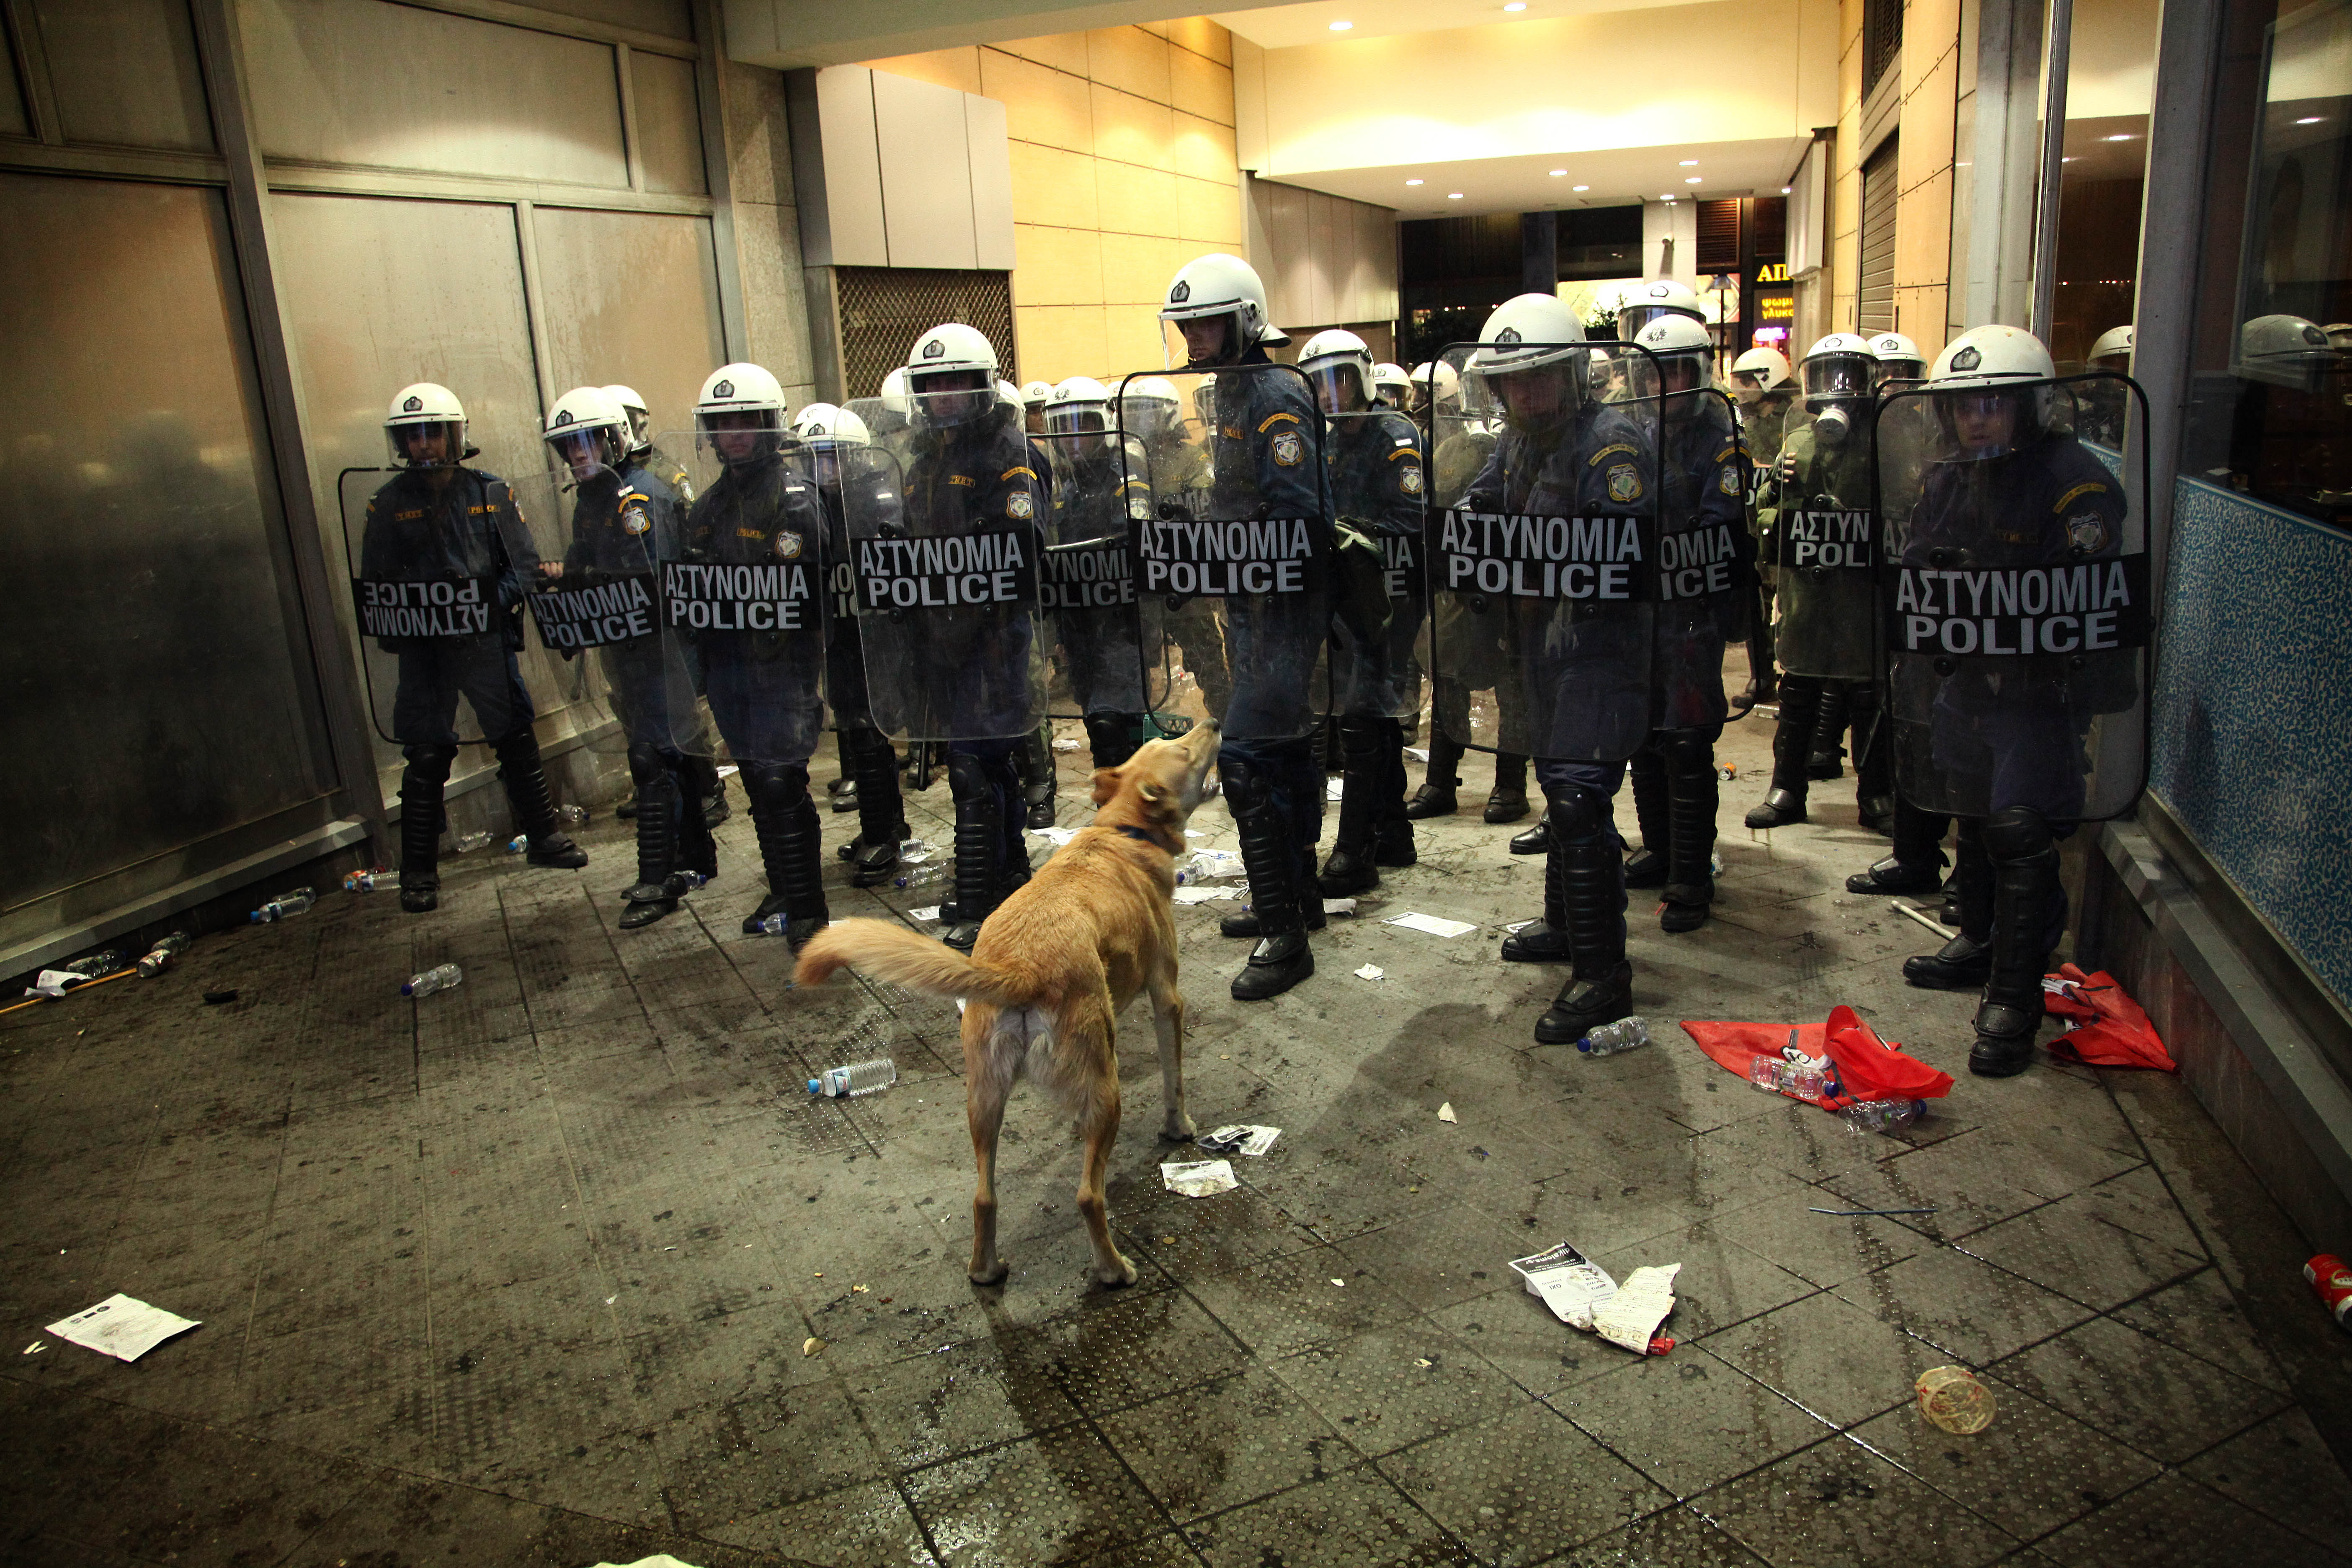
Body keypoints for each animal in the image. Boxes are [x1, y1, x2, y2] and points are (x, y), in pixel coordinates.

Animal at [799, 724, 1223, 1288]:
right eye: (1182, 748)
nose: (1214, 724)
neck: (1126, 830)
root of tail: (1020, 970)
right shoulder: (1166, 999)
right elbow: (1174, 1081)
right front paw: (1180, 1128)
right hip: (1100, 1087)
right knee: (1088, 1196)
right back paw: (1114, 1270)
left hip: (985, 1099)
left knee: (984, 1197)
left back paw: (986, 1270)